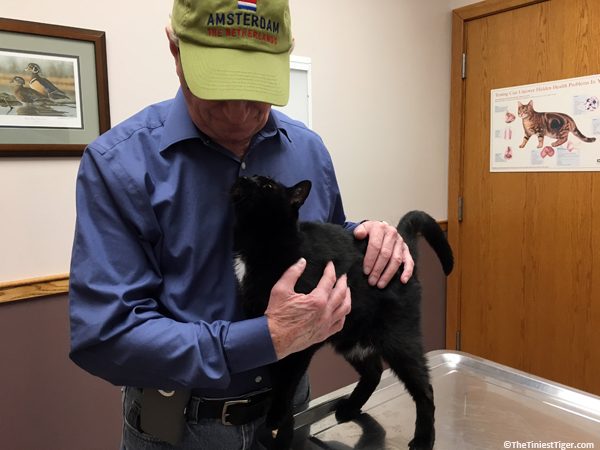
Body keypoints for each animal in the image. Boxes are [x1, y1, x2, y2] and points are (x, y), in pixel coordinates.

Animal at [232, 176, 452, 450]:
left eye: (267, 186)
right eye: (254, 179)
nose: (244, 178)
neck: (261, 241)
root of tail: (403, 250)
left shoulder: (302, 337)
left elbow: (287, 382)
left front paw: (276, 418)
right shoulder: (273, 335)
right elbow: (279, 377)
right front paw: (283, 429)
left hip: (398, 339)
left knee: (424, 389)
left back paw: (424, 438)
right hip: (351, 340)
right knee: (374, 372)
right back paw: (349, 407)